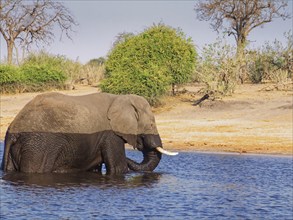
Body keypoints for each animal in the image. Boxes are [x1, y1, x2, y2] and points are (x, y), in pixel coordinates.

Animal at [1, 92, 177, 174]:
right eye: (152, 124)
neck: (121, 98)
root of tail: (12, 129)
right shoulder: (110, 134)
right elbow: (119, 169)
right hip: (38, 146)